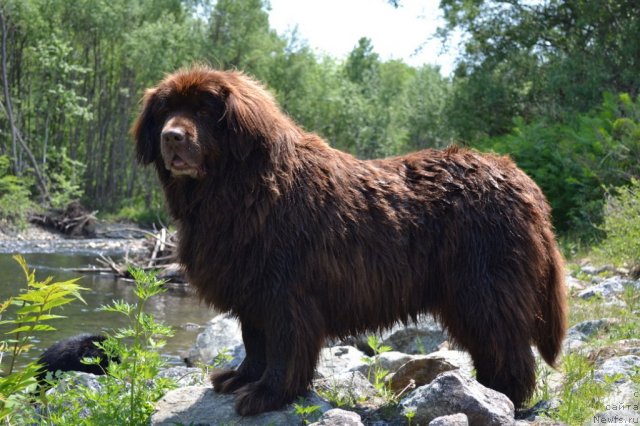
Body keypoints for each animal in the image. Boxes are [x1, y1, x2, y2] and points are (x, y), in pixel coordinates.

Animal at [132, 66, 568, 416]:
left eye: (205, 110)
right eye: (165, 110)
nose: (172, 136)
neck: (244, 189)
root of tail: (522, 179)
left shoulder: (286, 292)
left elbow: (283, 349)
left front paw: (267, 396)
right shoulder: (250, 291)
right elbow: (254, 343)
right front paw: (241, 379)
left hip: (484, 288)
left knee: (508, 350)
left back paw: (499, 397)